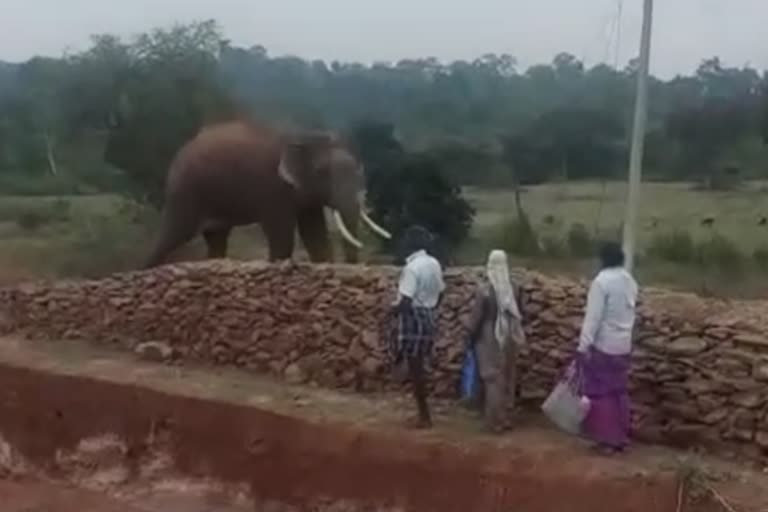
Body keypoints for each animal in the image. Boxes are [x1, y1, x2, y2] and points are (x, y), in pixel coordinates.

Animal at [141, 121, 390, 268]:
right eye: (322, 172)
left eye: (359, 172)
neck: (305, 135)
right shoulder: (273, 188)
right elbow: (282, 234)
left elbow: (314, 232)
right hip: (186, 192)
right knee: (173, 236)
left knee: (216, 239)